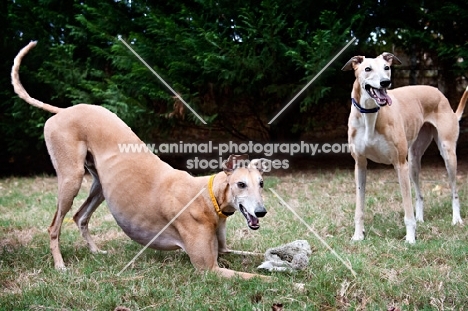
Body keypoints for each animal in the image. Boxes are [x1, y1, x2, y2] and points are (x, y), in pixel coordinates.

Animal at [11, 41, 266, 280]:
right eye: (240, 184)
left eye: (261, 183)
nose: (262, 212)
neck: (208, 196)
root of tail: (63, 110)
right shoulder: (209, 268)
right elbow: (260, 278)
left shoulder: (224, 251)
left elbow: (258, 254)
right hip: (71, 179)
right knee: (54, 226)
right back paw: (60, 265)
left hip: (100, 186)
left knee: (79, 216)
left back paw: (95, 251)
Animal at [340, 53, 468, 244]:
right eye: (367, 68)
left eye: (386, 67)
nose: (385, 82)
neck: (370, 114)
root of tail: (439, 93)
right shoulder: (360, 165)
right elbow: (359, 207)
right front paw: (357, 235)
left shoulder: (400, 164)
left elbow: (407, 210)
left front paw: (410, 238)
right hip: (414, 160)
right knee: (419, 194)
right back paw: (420, 218)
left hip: (447, 153)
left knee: (454, 190)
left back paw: (456, 219)